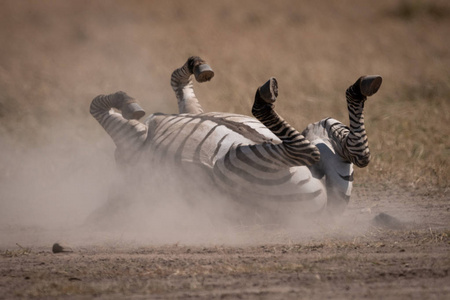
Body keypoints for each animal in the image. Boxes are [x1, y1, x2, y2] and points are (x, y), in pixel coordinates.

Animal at [89, 55, 382, 221]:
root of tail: (323, 215)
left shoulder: (191, 110)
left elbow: (178, 83)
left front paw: (198, 66)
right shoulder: (130, 141)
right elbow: (95, 105)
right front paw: (127, 103)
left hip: (318, 134)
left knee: (355, 152)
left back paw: (361, 88)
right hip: (235, 164)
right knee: (308, 151)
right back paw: (264, 99)